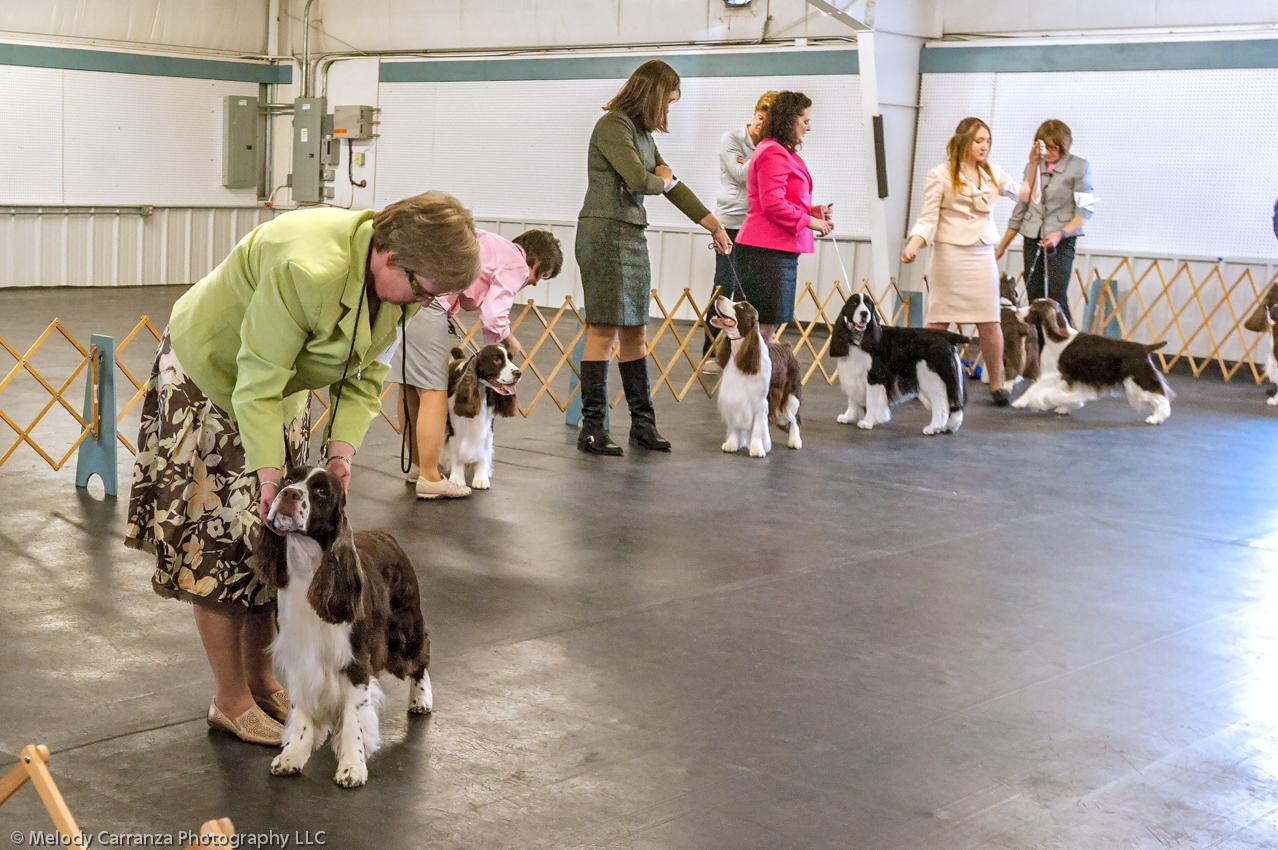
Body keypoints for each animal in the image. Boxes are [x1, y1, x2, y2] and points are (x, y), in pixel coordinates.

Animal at [255, 467, 434, 787]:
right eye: (288, 479)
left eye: (321, 491)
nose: (288, 494)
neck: (307, 572)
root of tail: (387, 536)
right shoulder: (299, 659)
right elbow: (301, 714)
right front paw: (292, 757)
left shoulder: (355, 662)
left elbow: (354, 720)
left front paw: (352, 766)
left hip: (403, 628)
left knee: (422, 650)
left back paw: (421, 698)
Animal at [710, 297, 797, 457]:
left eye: (741, 307)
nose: (719, 297)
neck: (740, 352)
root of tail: (786, 346)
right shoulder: (734, 397)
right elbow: (735, 422)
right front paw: (732, 444)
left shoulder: (761, 403)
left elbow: (758, 427)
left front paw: (757, 448)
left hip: (791, 395)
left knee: (794, 418)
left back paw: (795, 441)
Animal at [828, 293, 966, 437]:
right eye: (854, 303)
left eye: (868, 304)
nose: (864, 313)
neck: (859, 338)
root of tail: (947, 335)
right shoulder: (851, 373)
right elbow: (852, 397)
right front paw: (848, 417)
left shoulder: (874, 376)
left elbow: (872, 401)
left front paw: (867, 422)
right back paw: (948, 427)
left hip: (932, 377)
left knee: (941, 404)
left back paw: (933, 428)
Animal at [1012, 296, 1170, 421]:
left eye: (1034, 307)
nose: (1017, 311)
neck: (1057, 338)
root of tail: (1144, 347)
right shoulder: (1071, 379)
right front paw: (1065, 407)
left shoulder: (1056, 375)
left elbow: (1034, 387)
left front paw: (1020, 402)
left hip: (1139, 379)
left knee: (1161, 396)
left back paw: (1156, 418)